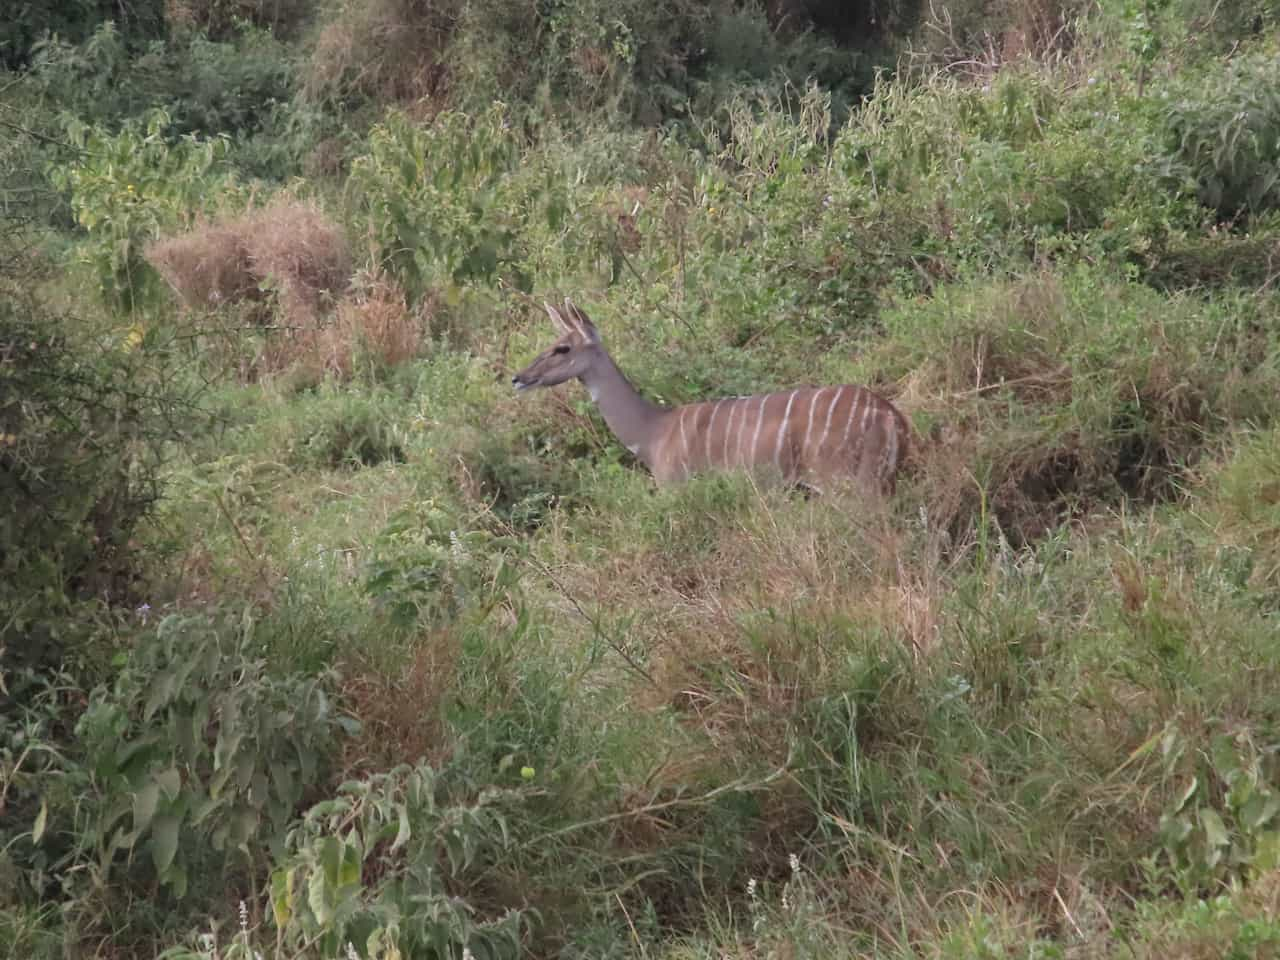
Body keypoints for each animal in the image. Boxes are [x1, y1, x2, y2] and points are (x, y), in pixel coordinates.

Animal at [509, 300, 911, 496]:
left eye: (562, 348)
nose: (518, 378)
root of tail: (892, 417)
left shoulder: (676, 486)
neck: (654, 433)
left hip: (847, 482)